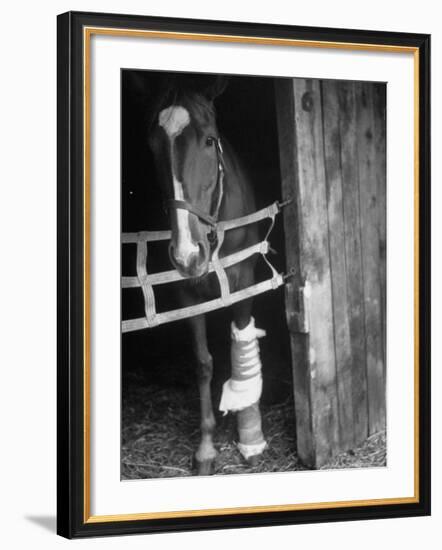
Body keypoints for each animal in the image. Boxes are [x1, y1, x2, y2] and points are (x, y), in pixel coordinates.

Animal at [148, 75, 266, 476]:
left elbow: (241, 344)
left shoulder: (244, 283)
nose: (187, 253)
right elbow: (202, 363)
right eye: (151, 145)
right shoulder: (187, 294)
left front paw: (250, 436)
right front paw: (206, 447)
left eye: (210, 140)